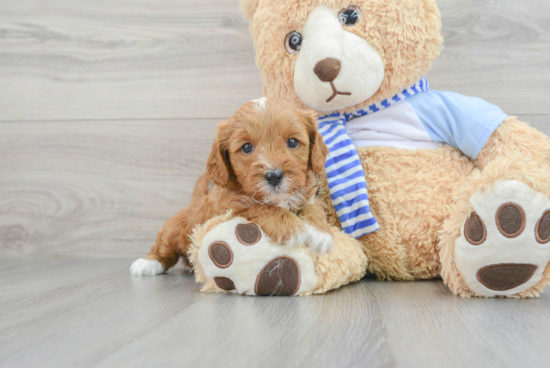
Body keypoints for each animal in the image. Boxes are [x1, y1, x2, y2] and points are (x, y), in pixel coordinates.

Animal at [132, 98, 334, 276]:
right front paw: (291, 227)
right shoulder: (231, 207)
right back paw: (147, 264)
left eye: (292, 142)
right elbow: (261, 207)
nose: (274, 176)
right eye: (246, 147)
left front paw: (320, 233)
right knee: (163, 249)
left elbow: (314, 207)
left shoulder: (309, 195)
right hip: (173, 228)